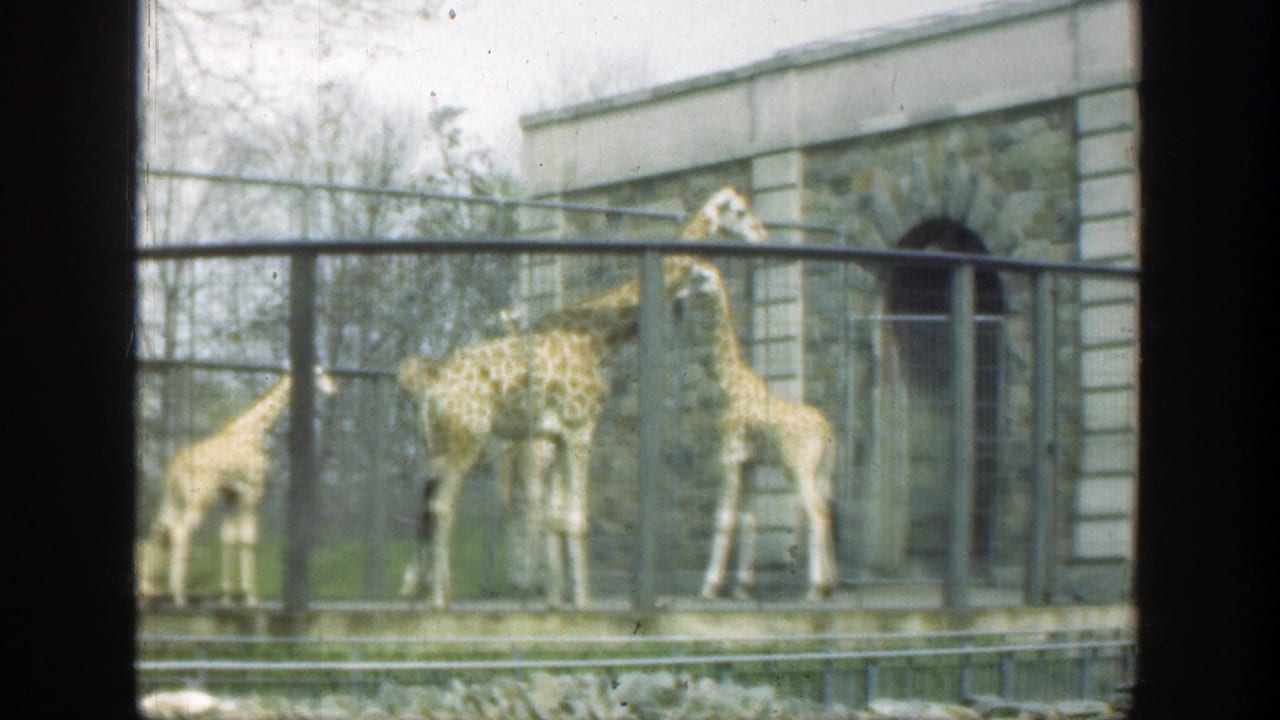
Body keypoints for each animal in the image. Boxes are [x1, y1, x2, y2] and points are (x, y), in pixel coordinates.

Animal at [137, 365, 339, 607]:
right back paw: (178, 596)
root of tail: (173, 468)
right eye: (320, 373)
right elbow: (248, 539)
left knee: (157, 534)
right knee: (180, 532)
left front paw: (227, 596)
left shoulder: (231, 496)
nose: (334, 389)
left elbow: (229, 538)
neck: (255, 431)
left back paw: (152, 591)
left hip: (173, 499)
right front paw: (251, 596)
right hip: (198, 498)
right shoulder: (253, 492)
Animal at [397, 186, 768, 609]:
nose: (763, 234)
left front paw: (557, 599)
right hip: (467, 440)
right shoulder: (580, 428)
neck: (598, 339)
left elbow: (557, 518)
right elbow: (575, 518)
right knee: (443, 507)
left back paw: (435, 589)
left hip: (443, 444)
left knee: (436, 506)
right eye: (740, 211)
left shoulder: (558, 436)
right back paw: (439, 598)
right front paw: (582, 602)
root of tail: (432, 388)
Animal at [675, 260, 839, 601]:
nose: (678, 295)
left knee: (815, 512)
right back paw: (831, 583)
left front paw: (709, 587)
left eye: (698, 276)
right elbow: (749, 518)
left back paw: (815, 588)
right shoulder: (748, 461)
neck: (729, 384)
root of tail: (828, 432)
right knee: (827, 509)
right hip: (824, 471)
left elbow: (724, 516)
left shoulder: (729, 454)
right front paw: (742, 587)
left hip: (798, 467)